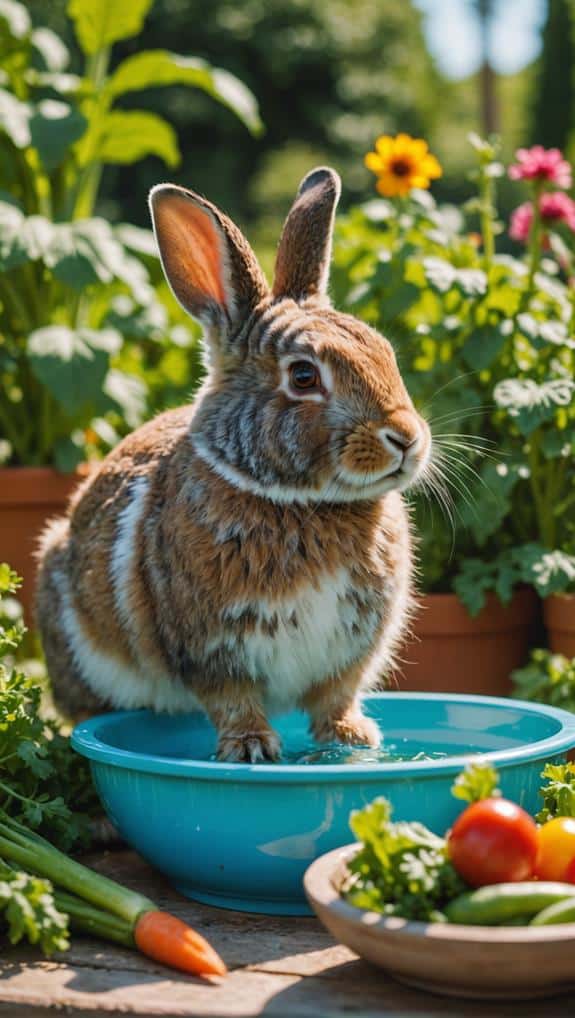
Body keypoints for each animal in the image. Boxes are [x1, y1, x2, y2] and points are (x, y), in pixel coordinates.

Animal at [35, 166, 432, 763]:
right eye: (303, 376)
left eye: (385, 352)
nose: (406, 439)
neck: (302, 501)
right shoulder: (213, 647)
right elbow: (232, 699)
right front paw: (251, 749)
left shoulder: (348, 652)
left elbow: (334, 697)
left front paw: (352, 739)